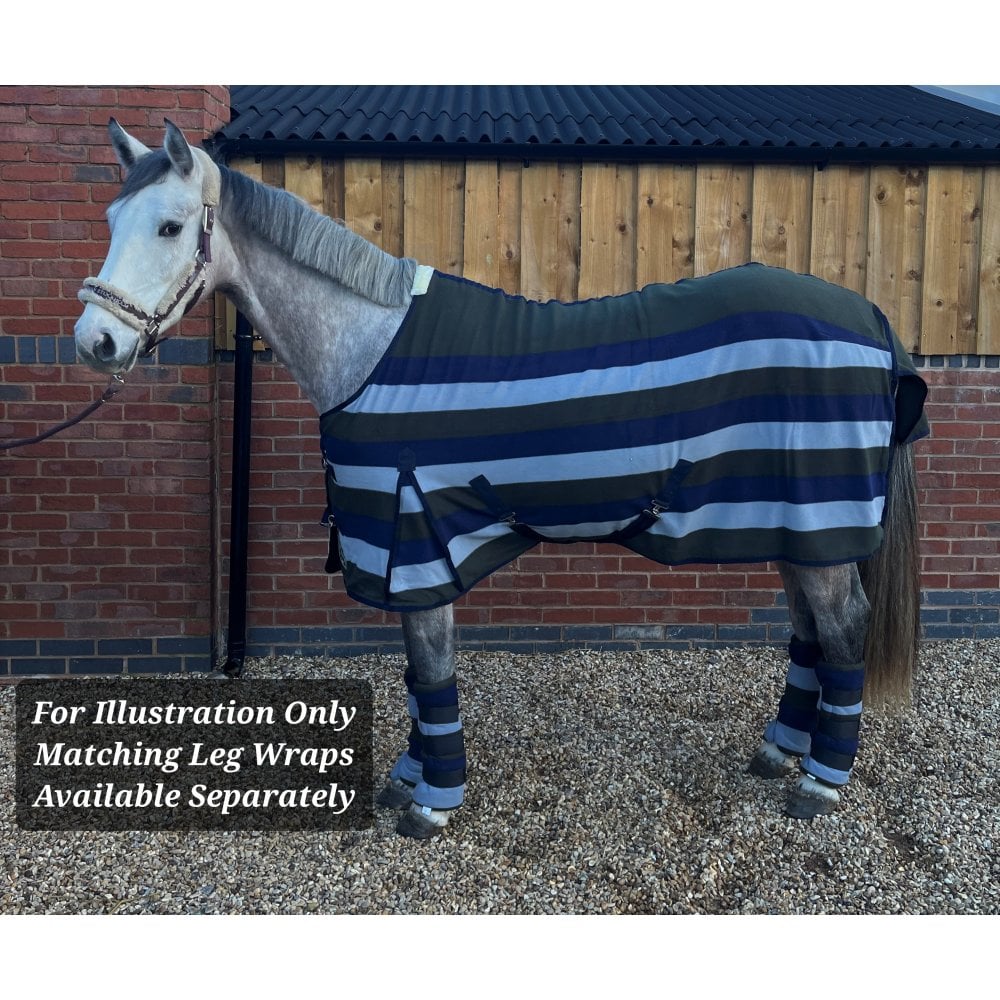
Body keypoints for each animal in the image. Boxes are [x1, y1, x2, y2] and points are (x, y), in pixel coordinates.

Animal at [74, 120, 928, 839]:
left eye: (170, 226)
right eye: (111, 221)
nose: (96, 342)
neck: (368, 347)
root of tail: (873, 320)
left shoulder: (414, 541)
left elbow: (430, 670)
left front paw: (432, 801)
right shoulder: (408, 552)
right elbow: (416, 676)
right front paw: (409, 776)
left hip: (819, 522)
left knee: (844, 629)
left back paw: (819, 782)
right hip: (797, 523)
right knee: (812, 631)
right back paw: (780, 750)